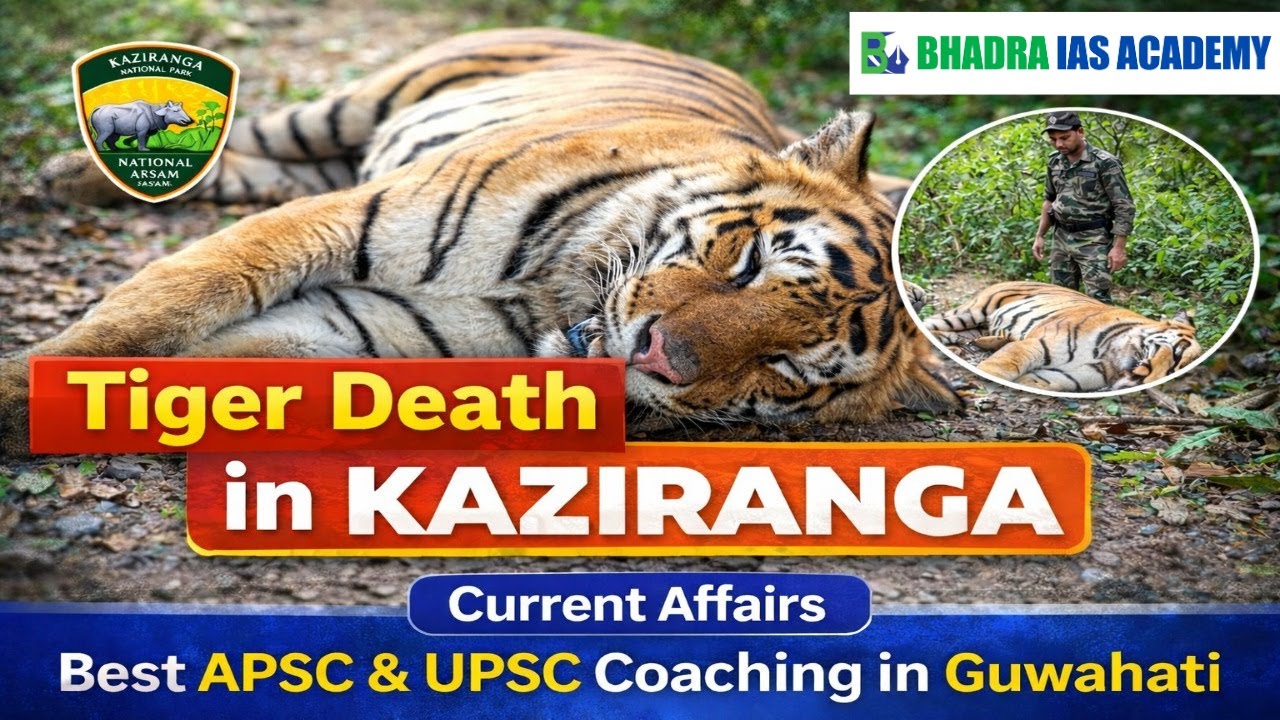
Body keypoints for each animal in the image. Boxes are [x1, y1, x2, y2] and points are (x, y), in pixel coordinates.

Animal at [0, 27, 961, 456]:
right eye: (749, 263)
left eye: (787, 368)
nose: (660, 356)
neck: (542, 299)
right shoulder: (339, 219)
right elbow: (161, 307)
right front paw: (24, 394)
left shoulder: (362, 332)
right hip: (349, 108)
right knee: (257, 136)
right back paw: (66, 175)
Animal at [922, 281, 1202, 392]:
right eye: (1176, 354)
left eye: (1173, 370)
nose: (1148, 381)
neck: (1110, 361)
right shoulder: (1035, 344)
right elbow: (1001, 367)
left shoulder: (1065, 376)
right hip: (971, 312)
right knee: (930, 322)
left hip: (975, 327)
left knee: (958, 336)